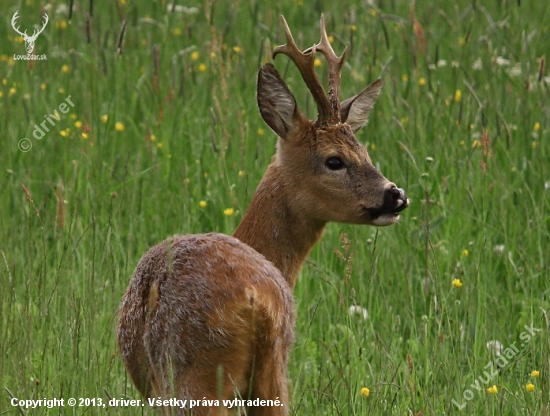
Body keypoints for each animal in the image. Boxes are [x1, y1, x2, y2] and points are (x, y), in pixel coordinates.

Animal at [117, 14, 410, 416]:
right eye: (335, 160)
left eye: (363, 152)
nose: (396, 196)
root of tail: (255, 298)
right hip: (268, 369)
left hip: (196, 377)